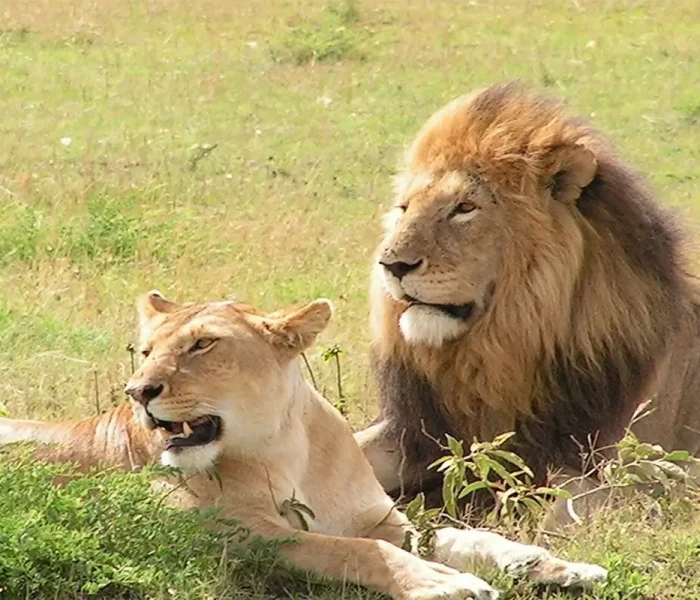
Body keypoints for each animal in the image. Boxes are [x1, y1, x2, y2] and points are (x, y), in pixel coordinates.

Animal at [0, 291, 607, 599]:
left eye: (202, 345)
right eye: (147, 351)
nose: (138, 391)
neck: (283, 446)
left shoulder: (381, 519)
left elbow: (463, 535)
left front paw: (552, 566)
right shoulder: (236, 536)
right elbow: (354, 550)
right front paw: (444, 583)